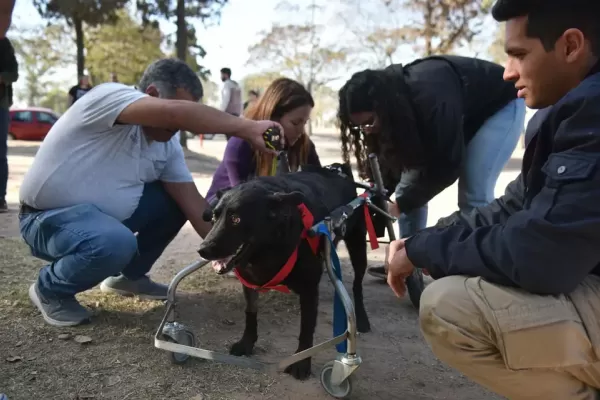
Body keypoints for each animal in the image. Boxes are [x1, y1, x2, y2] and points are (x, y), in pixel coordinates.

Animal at [197, 164, 384, 380]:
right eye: (214, 217)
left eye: (236, 219)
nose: (202, 249)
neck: (269, 247)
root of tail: (338, 171)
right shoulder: (249, 282)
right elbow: (251, 313)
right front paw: (247, 343)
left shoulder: (309, 290)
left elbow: (306, 329)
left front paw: (302, 363)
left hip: (358, 247)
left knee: (357, 286)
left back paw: (361, 319)